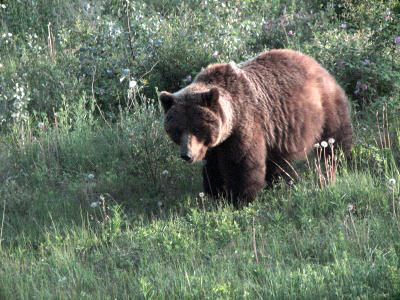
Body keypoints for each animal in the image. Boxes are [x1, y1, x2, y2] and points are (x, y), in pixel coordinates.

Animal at [159, 49, 354, 206]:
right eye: (177, 130)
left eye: (197, 129)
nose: (187, 155)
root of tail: (314, 62)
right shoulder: (216, 145)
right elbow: (213, 167)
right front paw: (217, 194)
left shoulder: (245, 126)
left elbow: (241, 163)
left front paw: (240, 197)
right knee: (279, 161)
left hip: (326, 106)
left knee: (335, 140)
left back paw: (341, 162)